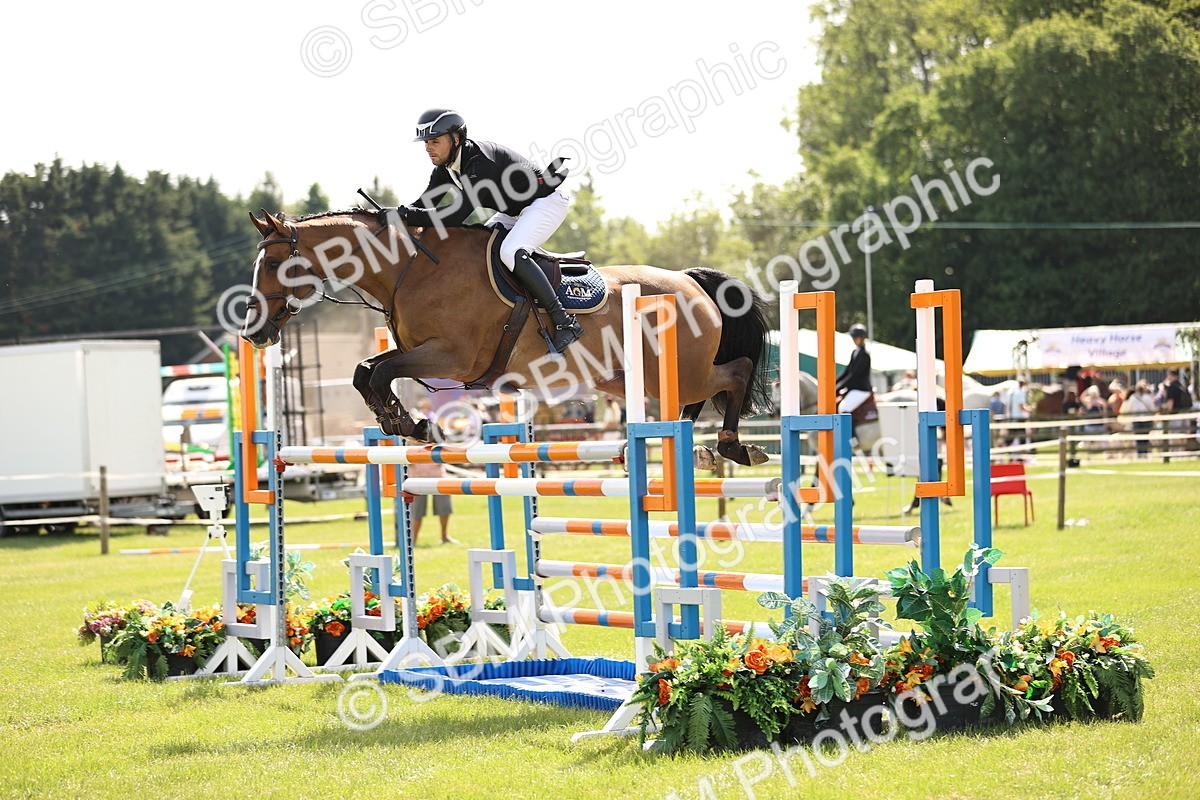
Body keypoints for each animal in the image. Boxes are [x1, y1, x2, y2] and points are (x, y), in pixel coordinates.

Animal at [243, 209, 772, 466]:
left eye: (275, 263)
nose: (254, 332)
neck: (409, 269)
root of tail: (689, 280)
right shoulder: (421, 352)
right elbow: (365, 371)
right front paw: (402, 421)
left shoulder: (451, 357)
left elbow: (380, 371)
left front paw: (409, 423)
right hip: (629, 379)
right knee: (689, 398)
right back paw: (693, 447)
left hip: (683, 367)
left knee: (735, 372)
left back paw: (733, 447)